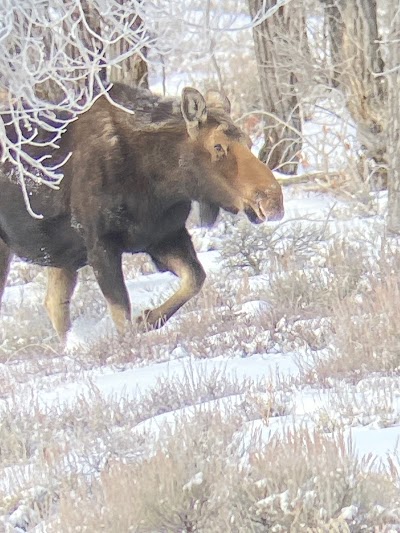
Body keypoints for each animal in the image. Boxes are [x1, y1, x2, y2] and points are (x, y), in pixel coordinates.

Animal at [0, 84, 284, 338]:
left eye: (249, 142)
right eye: (217, 146)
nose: (273, 201)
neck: (160, 180)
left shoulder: (165, 235)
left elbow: (195, 278)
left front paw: (148, 318)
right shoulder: (100, 243)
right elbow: (121, 311)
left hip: (62, 258)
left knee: (54, 305)